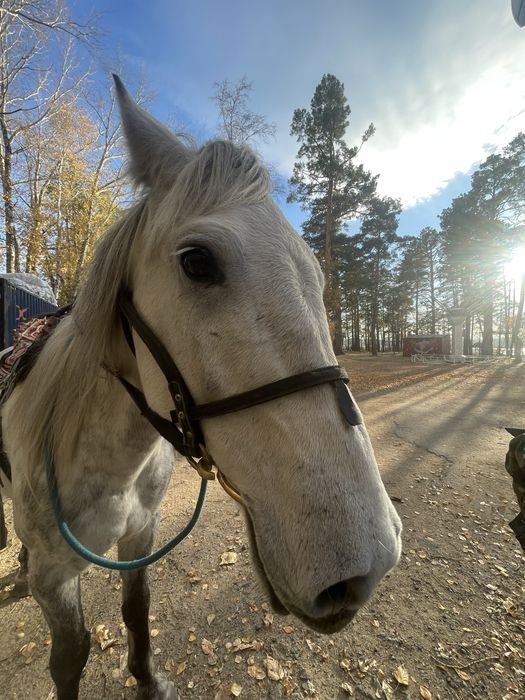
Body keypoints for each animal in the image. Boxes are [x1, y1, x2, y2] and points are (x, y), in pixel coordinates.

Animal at [0, 77, 402, 700]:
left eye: (315, 273)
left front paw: (149, 680)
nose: (366, 565)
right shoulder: (55, 579)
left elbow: (137, 609)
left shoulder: (141, 536)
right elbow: (70, 658)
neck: (107, 460)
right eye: (196, 261)